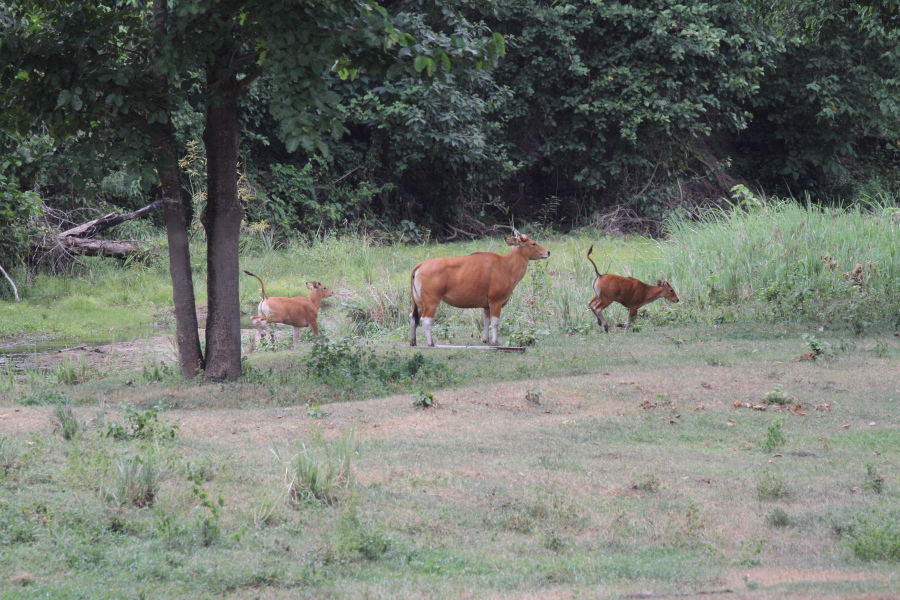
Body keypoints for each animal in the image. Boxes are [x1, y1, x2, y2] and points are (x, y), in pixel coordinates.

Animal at [410, 233, 548, 346]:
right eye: (533, 243)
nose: (548, 252)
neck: (505, 266)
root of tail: (421, 265)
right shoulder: (496, 301)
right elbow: (495, 322)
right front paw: (495, 341)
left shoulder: (486, 305)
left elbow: (486, 322)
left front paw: (485, 339)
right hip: (431, 301)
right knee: (425, 320)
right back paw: (431, 343)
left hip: (419, 302)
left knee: (413, 317)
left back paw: (413, 342)